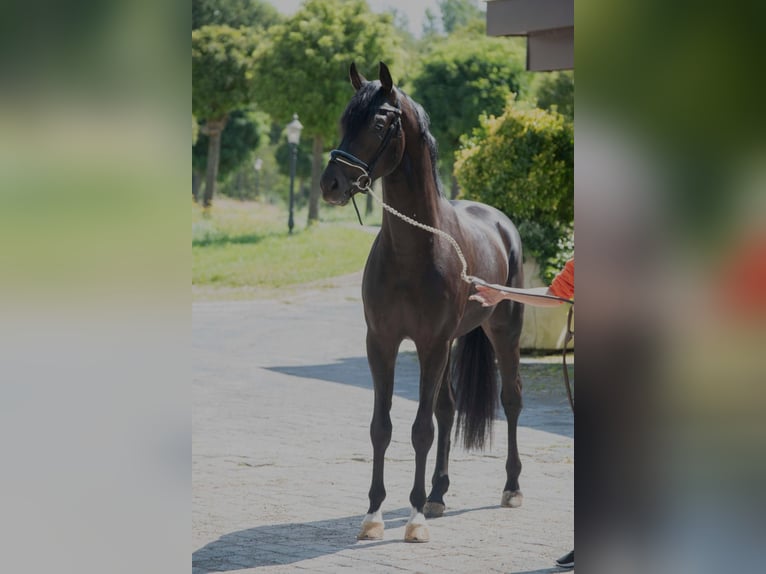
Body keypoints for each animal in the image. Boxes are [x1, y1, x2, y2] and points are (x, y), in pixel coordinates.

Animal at [320, 63, 528, 544]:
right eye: (345, 120)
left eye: (379, 123)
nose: (330, 184)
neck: (413, 251)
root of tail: (500, 222)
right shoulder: (382, 342)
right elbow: (382, 428)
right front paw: (375, 513)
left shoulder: (430, 344)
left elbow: (420, 429)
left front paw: (413, 518)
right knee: (448, 410)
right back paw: (437, 494)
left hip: (504, 331)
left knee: (510, 400)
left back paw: (511, 487)